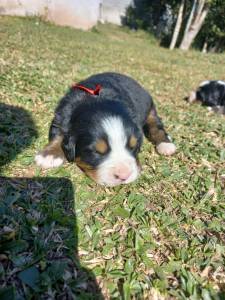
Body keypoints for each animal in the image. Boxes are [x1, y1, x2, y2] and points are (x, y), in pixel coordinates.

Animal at [34, 72, 176, 185]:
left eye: (133, 147)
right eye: (96, 152)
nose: (124, 176)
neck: (96, 101)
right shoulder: (62, 114)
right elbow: (59, 133)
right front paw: (50, 155)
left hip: (150, 107)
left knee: (155, 125)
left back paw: (166, 144)